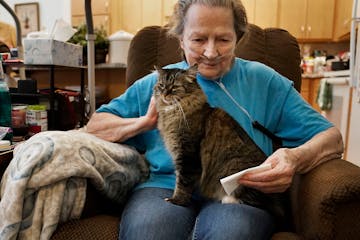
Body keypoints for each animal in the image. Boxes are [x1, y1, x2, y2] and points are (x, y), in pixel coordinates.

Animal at [154, 64, 286, 220]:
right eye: (161, 86)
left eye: (174, 87)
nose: (164, 94)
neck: (173, 112)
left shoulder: (188, 156)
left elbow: (183, 183)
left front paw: (177, 200)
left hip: (235, 169)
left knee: (262, 204)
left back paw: (228, 199)